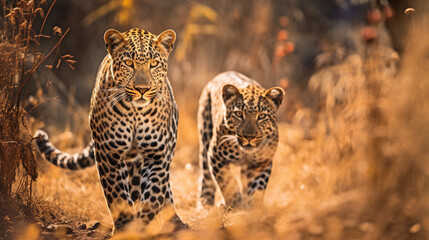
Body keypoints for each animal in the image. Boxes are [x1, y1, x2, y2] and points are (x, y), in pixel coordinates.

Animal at [33, 27, 186, 232]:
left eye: (153, 64)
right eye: (129, 63)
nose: (142, 89)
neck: (136, 112)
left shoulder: (157, 153)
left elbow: (153, 193)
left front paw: (146, 226)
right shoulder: (109, 153)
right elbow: (117, 194)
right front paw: (125, 227)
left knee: (162, 186)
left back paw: (174, 221)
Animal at [197, 71, 284, 208]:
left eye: (262, 116)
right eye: (238, 114)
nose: (249, 136)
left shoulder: (262, 162)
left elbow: (257, 187)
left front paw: (253, 209)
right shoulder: (216, 155)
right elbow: (227, 182)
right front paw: (236, 205)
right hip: (205, 136)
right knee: (206, 174)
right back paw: (205, 202)